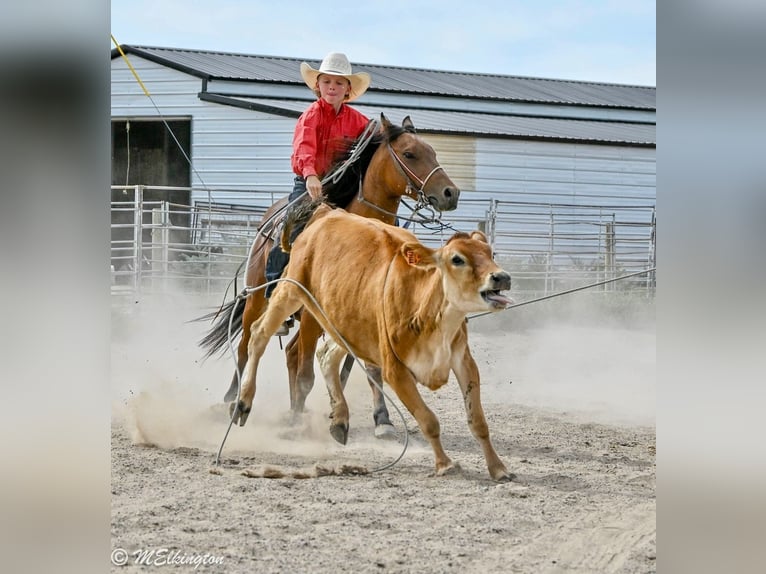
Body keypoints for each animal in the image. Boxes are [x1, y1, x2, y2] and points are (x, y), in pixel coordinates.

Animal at [199, 113, 460, 436]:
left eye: (433, 152)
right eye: (410, 153)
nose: (451, 193)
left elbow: (369, 368)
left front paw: (382, 419)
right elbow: (306, 374)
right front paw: (299, 422)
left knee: (291, 354)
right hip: (258, 300)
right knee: (246, 346)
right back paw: (232, 399)